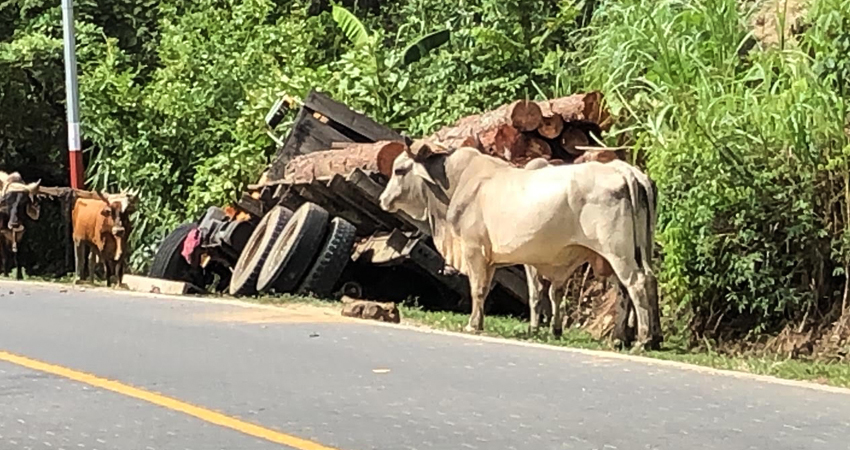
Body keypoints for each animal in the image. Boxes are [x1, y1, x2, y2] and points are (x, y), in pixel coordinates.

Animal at [380, 142, 664, 350]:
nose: (383, 199)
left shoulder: (475, 250)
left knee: (635, 283)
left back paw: (640, 341)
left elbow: (479, 290)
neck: (457, 184)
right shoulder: (504, 259)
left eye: (399, 170)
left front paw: (473, 324)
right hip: (635, 251)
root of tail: (625, 171)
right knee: (646, 282)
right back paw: (641, 339)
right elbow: (533, 293)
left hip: (617, 251)